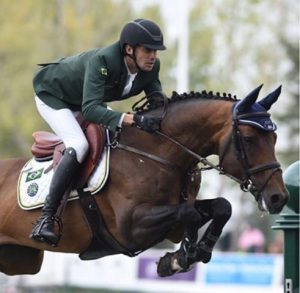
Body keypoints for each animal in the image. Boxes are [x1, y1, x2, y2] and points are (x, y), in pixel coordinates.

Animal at [0, 83, 288, 274]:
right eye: (249, 139)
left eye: (275, 138)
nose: (279, 198)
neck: (158, 153)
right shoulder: (131, 227)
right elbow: (190, 214)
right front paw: (183, 256)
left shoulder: (171, 220)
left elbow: (221, 207)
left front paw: (191, 253)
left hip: (19, 261)